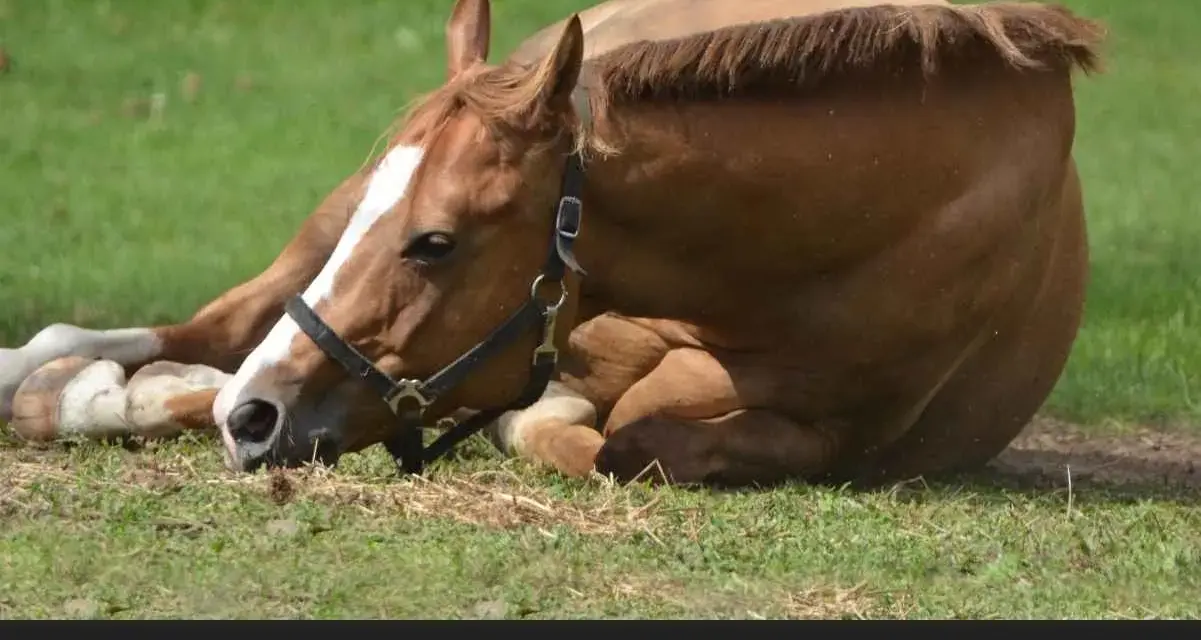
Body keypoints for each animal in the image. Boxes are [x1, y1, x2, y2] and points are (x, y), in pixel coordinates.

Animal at [0, 0, 1105, 487]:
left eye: (434, 242)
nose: (256, 419)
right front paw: (93, 397)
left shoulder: (826, 436)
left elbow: (621, 442)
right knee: (204, 329)